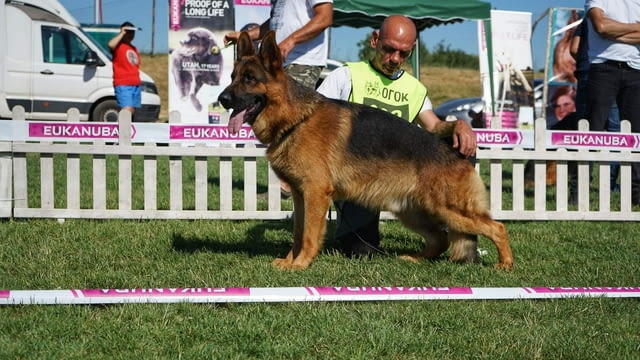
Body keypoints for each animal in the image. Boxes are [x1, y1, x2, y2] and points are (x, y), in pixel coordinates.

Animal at [218, 31, 512, 270]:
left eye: (249, 79)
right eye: (232, 78)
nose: (221, 99)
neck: (296, 119)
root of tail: (456, 154)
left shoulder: (314, 193)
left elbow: (309, 235)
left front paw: (300, 264)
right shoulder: (301, 196)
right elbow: (298, 232)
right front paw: (290, 260)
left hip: (448, 209)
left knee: (496, 227)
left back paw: (505, 264)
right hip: (413, 212)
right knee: (441, 239)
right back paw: (415, 259)